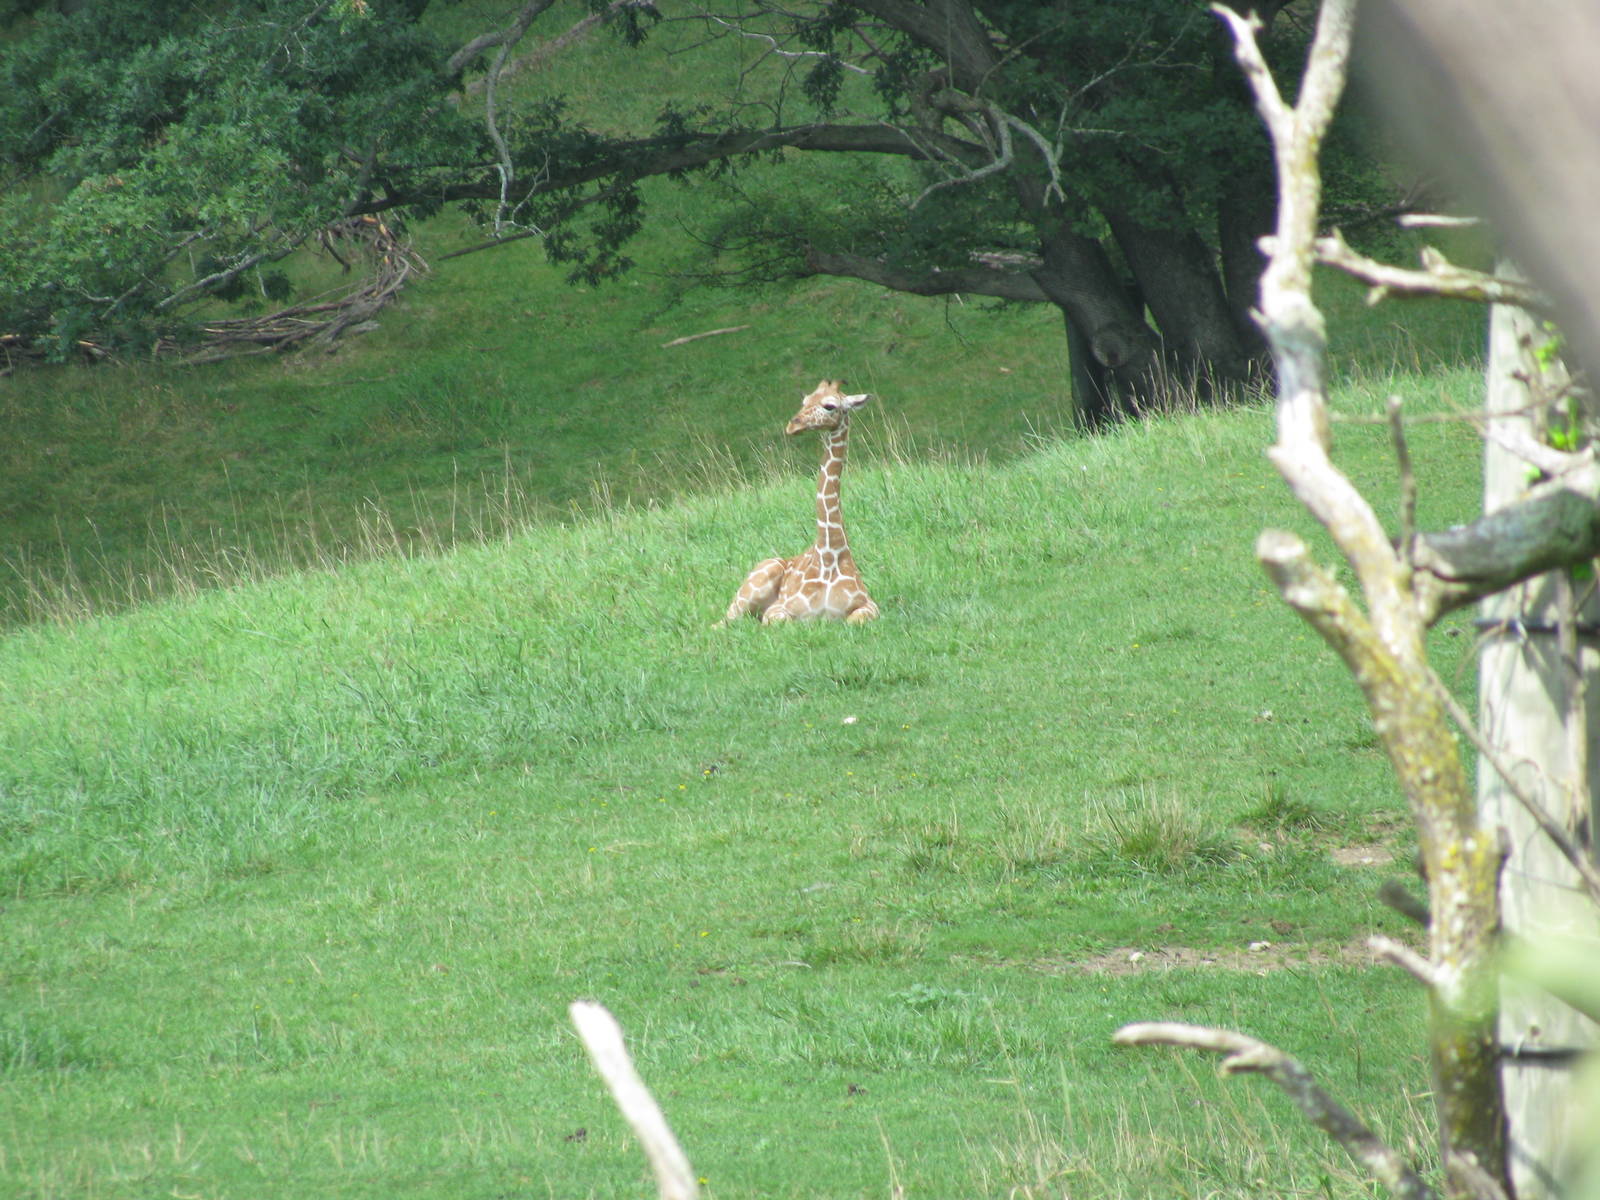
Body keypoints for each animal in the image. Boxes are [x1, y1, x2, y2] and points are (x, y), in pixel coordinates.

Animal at [722, 379, 880, 625]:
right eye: (804, 401)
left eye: (830, 406)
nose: (792, 425)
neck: (829, 555)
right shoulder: (777, 610)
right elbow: (784, 620)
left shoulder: (870, 606)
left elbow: (854, 619)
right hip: (748, 593)